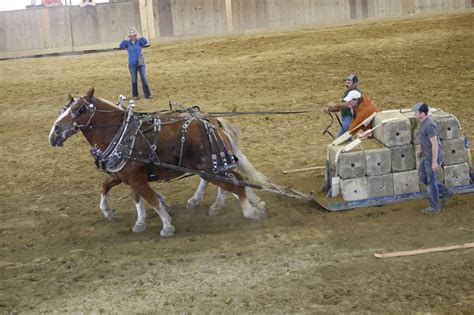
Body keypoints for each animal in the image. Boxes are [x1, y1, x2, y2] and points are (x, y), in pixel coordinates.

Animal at [50, 87, 270, 236]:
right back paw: (243, 203)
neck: (121, 134)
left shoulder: (135, 177)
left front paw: (166, 224)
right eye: (64, 109)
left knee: (235, 183)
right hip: (212, 166)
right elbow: (116, 190)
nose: (54, 133)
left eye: (79, 109)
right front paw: (126, 217)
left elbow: (150, 199)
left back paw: (248, 209)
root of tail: (213, 122)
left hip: (211, 166)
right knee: (234, 180)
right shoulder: (126, 174)